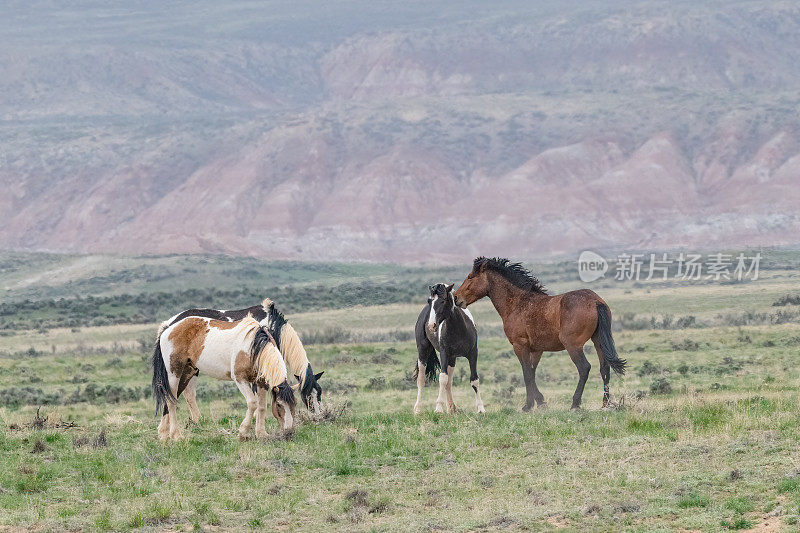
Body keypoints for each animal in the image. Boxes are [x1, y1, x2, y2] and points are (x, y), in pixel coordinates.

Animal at [153, 314, 296, 438]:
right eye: (279, 405)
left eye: (294, 405)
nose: (289, 432)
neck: (253, 347)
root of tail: (168, 328)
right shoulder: (240, 379)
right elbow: (252, 403)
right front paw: (243, 433)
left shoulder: (261, 382)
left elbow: (261, 407)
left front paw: (261, 434)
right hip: (174, 373)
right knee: (171, 401)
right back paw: (176, 435)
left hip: (187, 372)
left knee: (173, 397)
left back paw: (164, 434)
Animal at [158, 300, 324, 416]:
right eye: (308, 396)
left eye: (319, 393)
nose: (319, 416)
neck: (271, 324)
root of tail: (169, 324)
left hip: (191, 368)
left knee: (186, 395)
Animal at [416, 280, 484, 414]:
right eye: (429, 301)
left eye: (443, 300)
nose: (431, 325)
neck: (459, 329)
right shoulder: (444, 354)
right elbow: (442, 378)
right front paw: (438, 408)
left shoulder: (473, 354)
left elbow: (474, 380)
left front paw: (480, 408)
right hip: (423, 352)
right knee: (421, 380)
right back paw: (417, 409)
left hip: (452, 359)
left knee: (449, 383)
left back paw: (451, 408)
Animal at [456, 256, 624, 410]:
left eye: (470, 276)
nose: (457, 298)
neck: (517, 303)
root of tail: (595, 301)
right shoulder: (536, 350)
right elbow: (532, 373)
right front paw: (541, 402)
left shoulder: (519, 345)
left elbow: (526, 373)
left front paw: (528, 405)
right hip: (598, 341)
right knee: (604, 368)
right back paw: (605, 403)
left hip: (573, 346)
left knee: (584, 368)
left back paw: (575, 403)